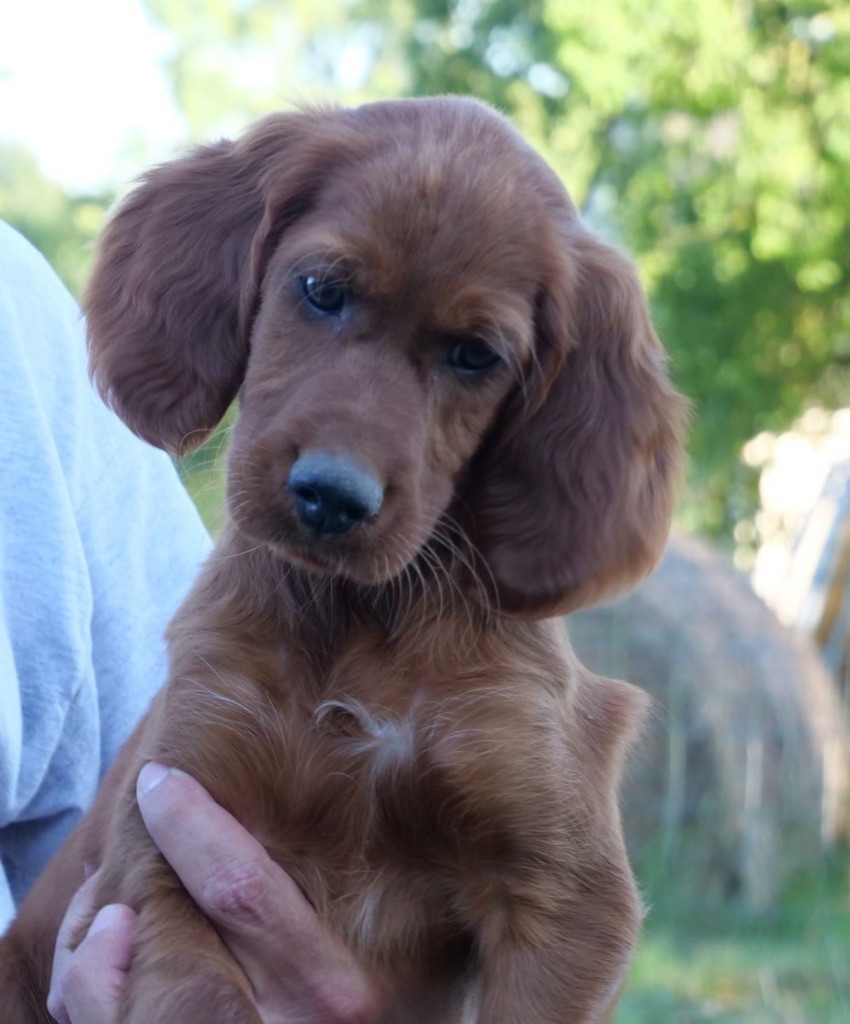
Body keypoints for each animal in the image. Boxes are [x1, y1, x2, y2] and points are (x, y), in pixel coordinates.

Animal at [0, 97, 688, 1024]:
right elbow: (200, 998)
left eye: (475, 354)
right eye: (322, 290)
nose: (331, 496)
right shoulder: (156, 841)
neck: (354, 616)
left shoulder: (568, 892)